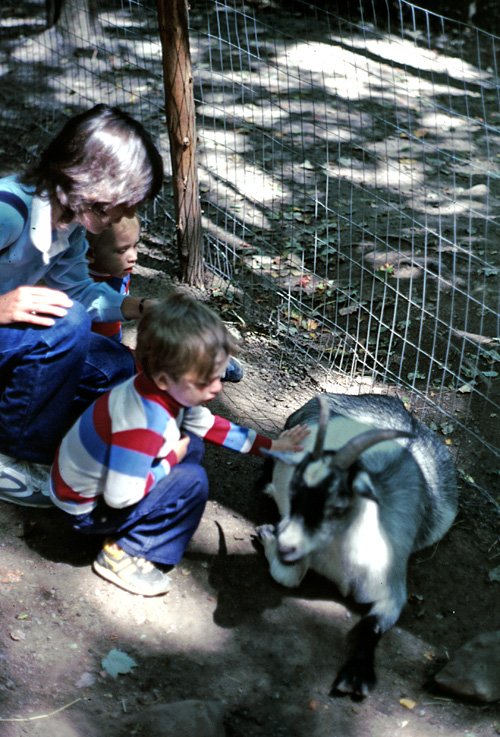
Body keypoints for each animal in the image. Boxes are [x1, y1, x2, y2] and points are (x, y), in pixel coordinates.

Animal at [258, 392, 458, 696]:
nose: (284, 545)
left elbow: (370, 626)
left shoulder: (392, 592)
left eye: (338, 505)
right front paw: (267, 536)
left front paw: (356, 675)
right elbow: (289, 576)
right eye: (294, 493)